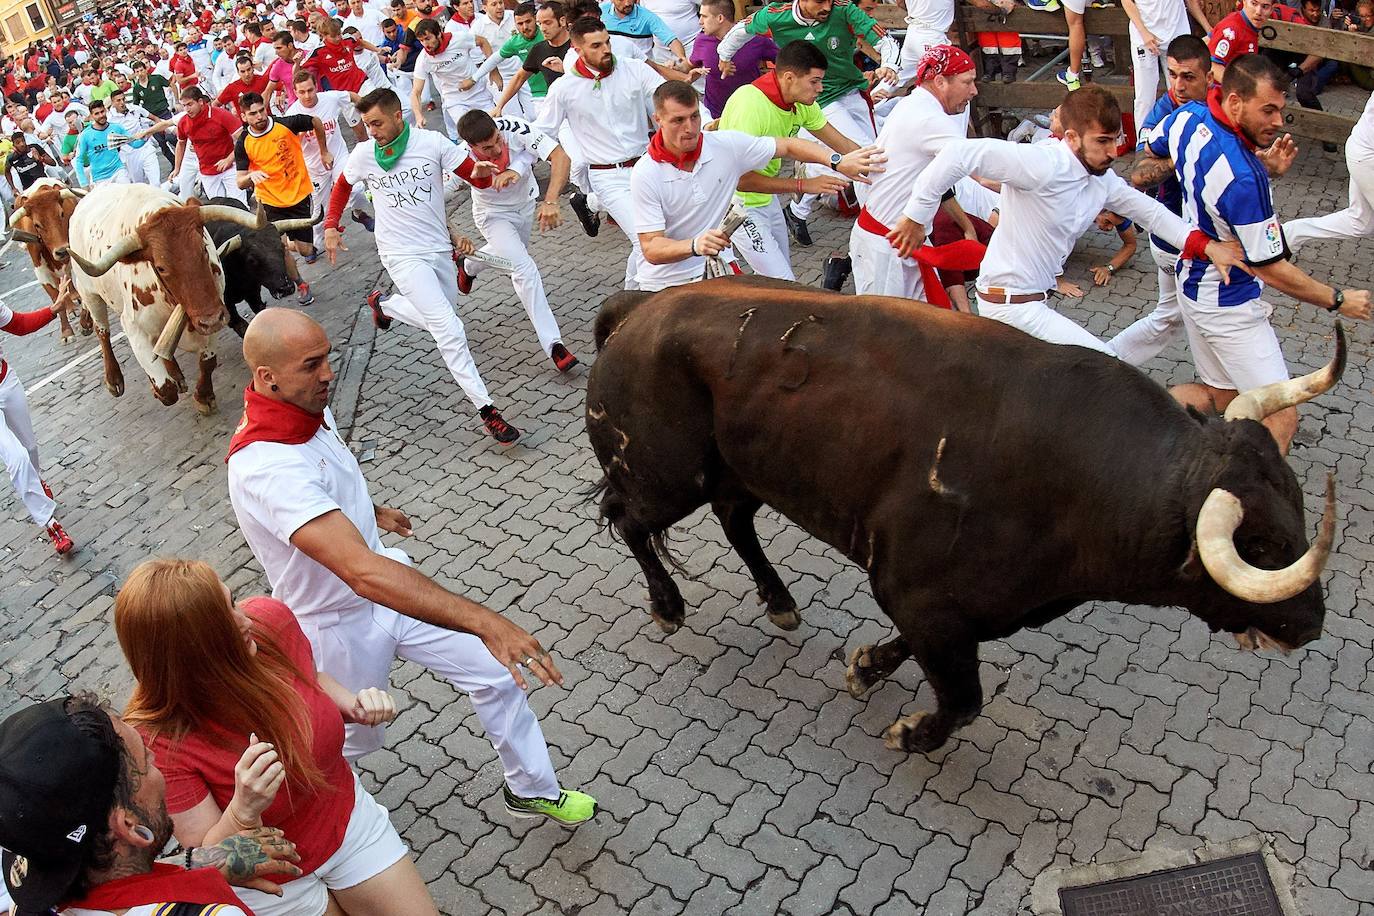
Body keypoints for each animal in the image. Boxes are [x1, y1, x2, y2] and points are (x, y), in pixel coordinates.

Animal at [201, 197, 314, 336]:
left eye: (282, 247)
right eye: (252, 259)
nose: (286, 288)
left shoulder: (254, 293)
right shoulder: (226, 308)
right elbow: (241, 326)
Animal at [582, 277, 1341, 752]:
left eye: (1299, 511)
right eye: (1260, 546)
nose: (1311, 623)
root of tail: (641, 306)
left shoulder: (957, 604)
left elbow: (918, 656)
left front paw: (865, 666)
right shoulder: (916, 590)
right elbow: (963, 697)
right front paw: (911, 732)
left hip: (738, 469)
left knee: (733, 518)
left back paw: (779, 601)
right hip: (666, 475)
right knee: (629, 517)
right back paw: (668, 604)